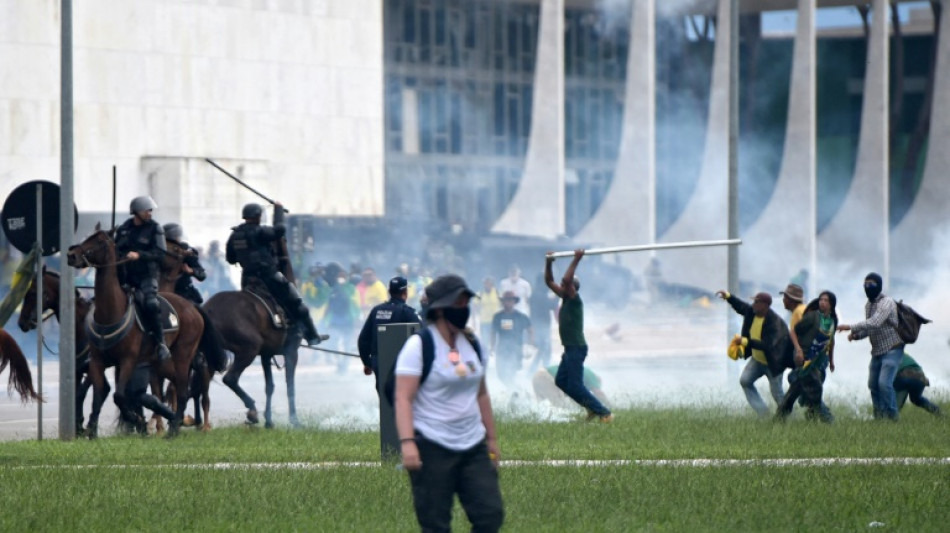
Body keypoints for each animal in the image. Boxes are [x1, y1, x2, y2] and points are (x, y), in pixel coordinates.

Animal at [64, 224, 205, 436]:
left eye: (99, 241)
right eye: (88, 237)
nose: (72, 255)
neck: (110, 312)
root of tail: (193, 309)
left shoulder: (127, 361)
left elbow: (119, 395)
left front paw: (135, 419)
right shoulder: (97, 362)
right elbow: (99, 396)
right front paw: (93, 431)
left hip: (182, 356)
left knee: (181, 391)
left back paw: (174, 427)